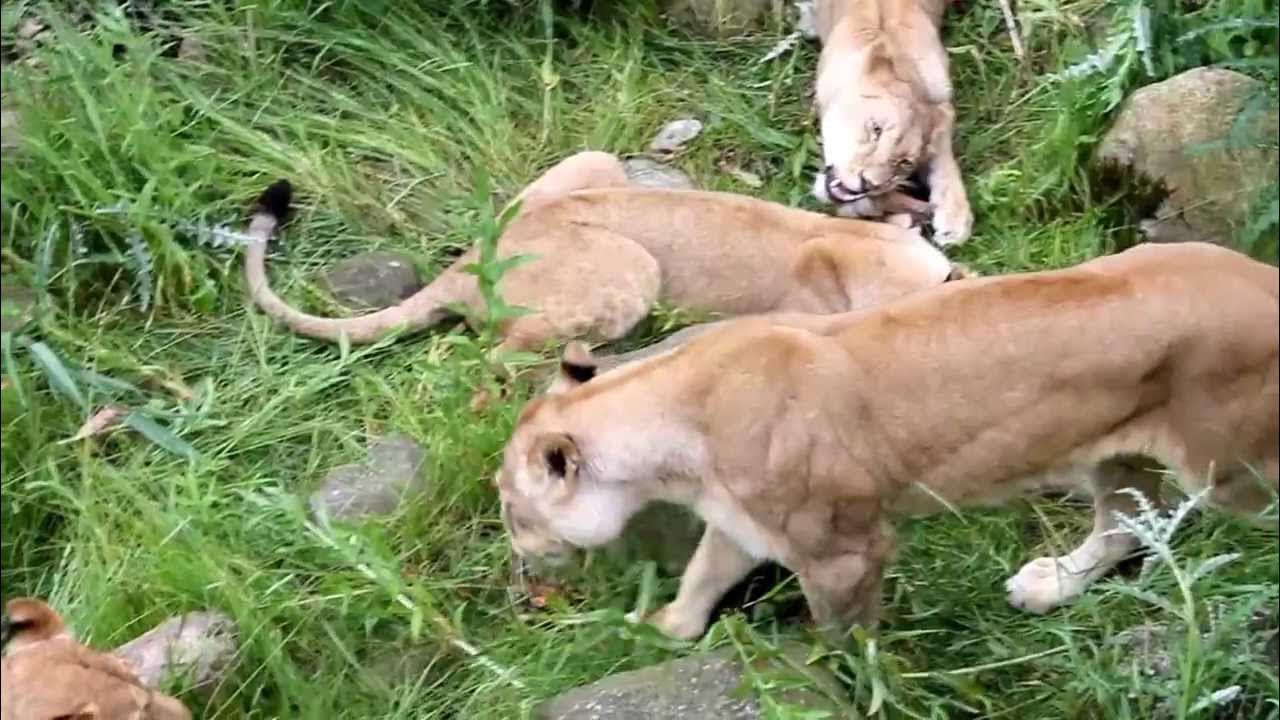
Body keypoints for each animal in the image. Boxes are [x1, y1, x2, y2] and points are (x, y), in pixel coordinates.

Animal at [494, 242, 1274, 638]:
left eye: (511, 509)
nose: (519, 556)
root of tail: (1264, 276)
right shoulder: (743, 523)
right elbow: (701, 576)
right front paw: (661, 628)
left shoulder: (846, 552)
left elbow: (844, 635)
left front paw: (844, 679)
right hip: (1118, 454)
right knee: (1127, 524)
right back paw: (1051, 585)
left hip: (1232, 469)